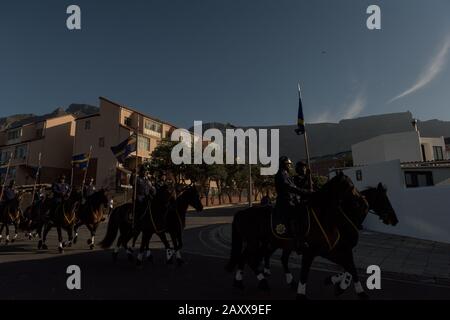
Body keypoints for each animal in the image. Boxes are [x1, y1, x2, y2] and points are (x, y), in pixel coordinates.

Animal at [225, 172, 376, 300]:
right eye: (350, 186)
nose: (364, 203)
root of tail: (241, 213)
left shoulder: (329, 250)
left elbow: (350, 267)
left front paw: (358, 292)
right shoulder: (310, 252)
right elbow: (304, 273)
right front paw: (301, 294)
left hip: (262, 243)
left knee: (246, 258)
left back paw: (243, 282)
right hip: (255, 243)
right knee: (250, 259)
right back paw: (261, 282)